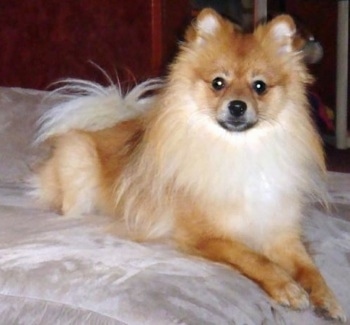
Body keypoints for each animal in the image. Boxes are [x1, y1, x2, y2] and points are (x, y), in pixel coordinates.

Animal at [32, 8, 344, 322]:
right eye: (218, 83)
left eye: (260, 87)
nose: (237, 106)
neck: (241, 151)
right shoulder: (208, 237)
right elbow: (254, 259)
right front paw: (287, 287)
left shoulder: (281, 233)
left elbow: (310, 268)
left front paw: (328, 298)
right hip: (79, 161)